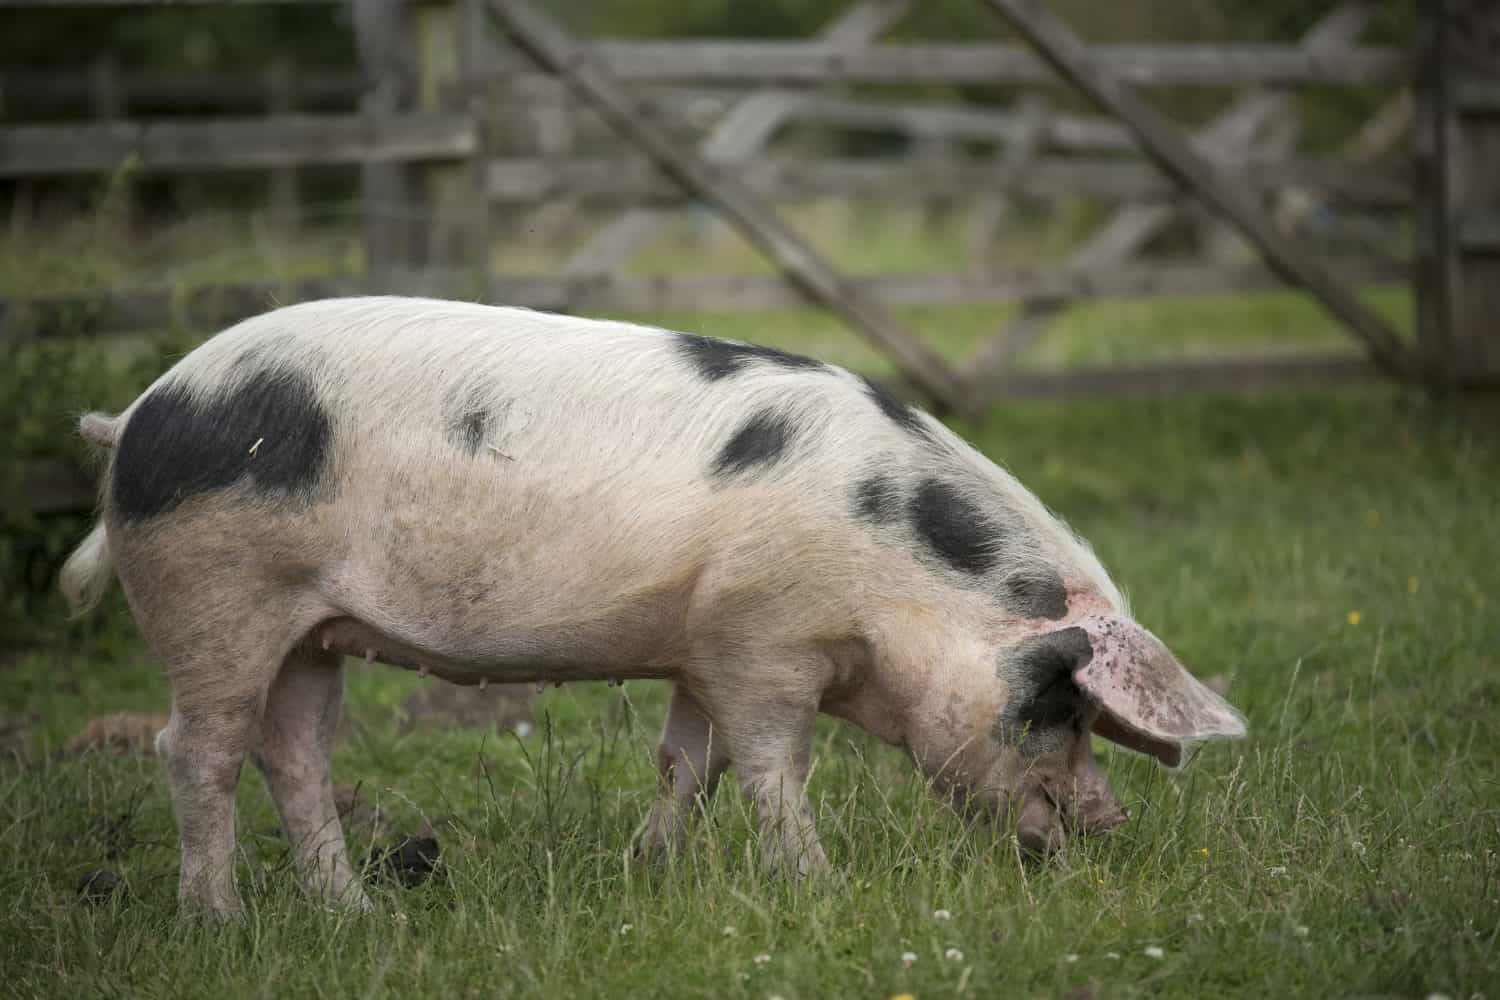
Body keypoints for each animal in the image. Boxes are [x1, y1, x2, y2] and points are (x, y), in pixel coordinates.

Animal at [59, 296, 1246, 916]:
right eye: (1056, 701)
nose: (1108, 820)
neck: (897, 581)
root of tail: (139, 413)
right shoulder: (762, 643)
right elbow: (773, 769)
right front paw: (816, 888)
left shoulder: (700, 647)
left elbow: (689, 764)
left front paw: (650, 870)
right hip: (216, 591)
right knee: (195, 748)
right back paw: (219, 918)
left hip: (311, 630)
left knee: (294, 752)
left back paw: (354, 913)